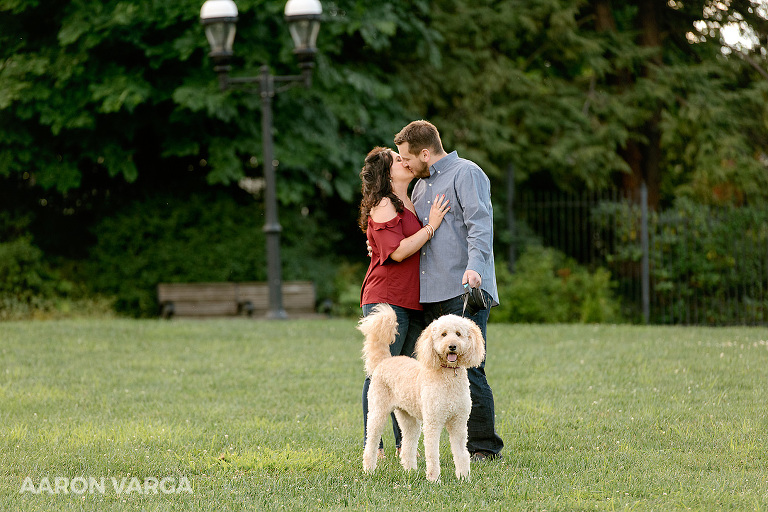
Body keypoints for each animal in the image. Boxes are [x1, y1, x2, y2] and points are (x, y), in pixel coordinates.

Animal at [360, 304, 486, 480]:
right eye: (443, 334)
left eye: (458, 334)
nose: (452, 346)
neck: (448, 376)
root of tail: (384, 361)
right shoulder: (433, 423)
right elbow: (432, 454)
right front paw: (434, 479)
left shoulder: (459, 423)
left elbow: (462, 453)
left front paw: (464, 478)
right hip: (378, 412)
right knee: (371, 442)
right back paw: (369, 470)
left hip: (408, 418)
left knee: (407, 445)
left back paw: (410, 471)